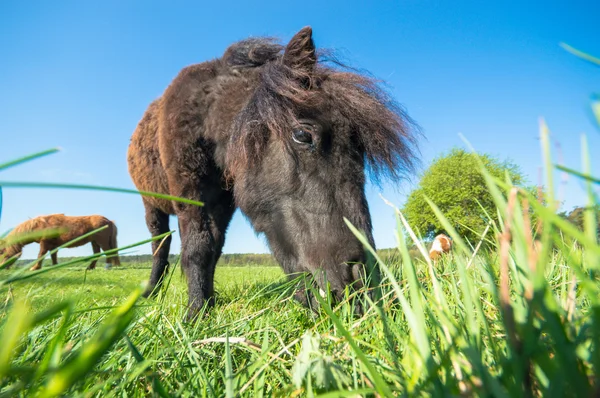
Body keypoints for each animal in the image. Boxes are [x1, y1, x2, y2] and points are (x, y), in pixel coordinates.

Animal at [127, 25, 418, 320]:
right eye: (302, 135)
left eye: (360, 151)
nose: (363, 288)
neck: (204, 113)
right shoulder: (191, 194)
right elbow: (198, 248)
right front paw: (196, 314)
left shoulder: (223, 204)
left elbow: (214, 248)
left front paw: (208, 302)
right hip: (152, 206)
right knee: (159, 245)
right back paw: (151, 291)